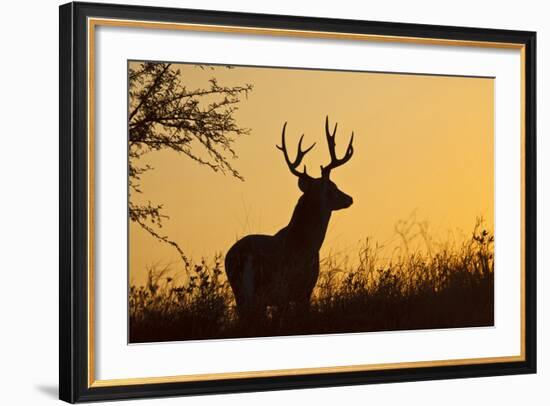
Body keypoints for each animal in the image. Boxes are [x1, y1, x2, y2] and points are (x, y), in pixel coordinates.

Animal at [226, 116, 356, 318]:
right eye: (333, 187)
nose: (349, 198)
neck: (307, 243)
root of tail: (244, 255)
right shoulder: (301, 290)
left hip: (240, 292)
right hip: (266, 289)